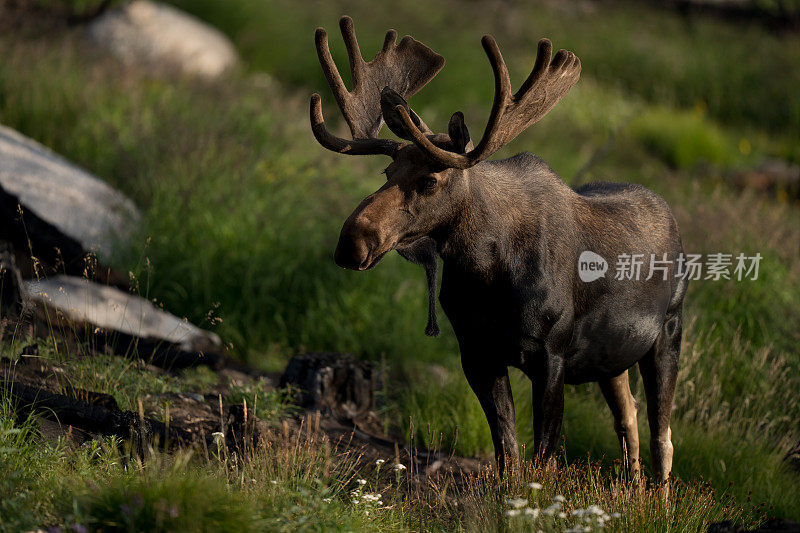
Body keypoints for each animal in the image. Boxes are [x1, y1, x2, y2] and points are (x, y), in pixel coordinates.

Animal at [310, 15, 684, 482]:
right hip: (611, 359)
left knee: (662, 438)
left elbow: (543, 458)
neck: (487, 273)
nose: (352, 240)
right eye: (386, 171)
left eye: (430, 180)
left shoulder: (551, 355)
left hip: (669, 332)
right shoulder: (477, 352)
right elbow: (508, 454)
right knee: (628, 418)